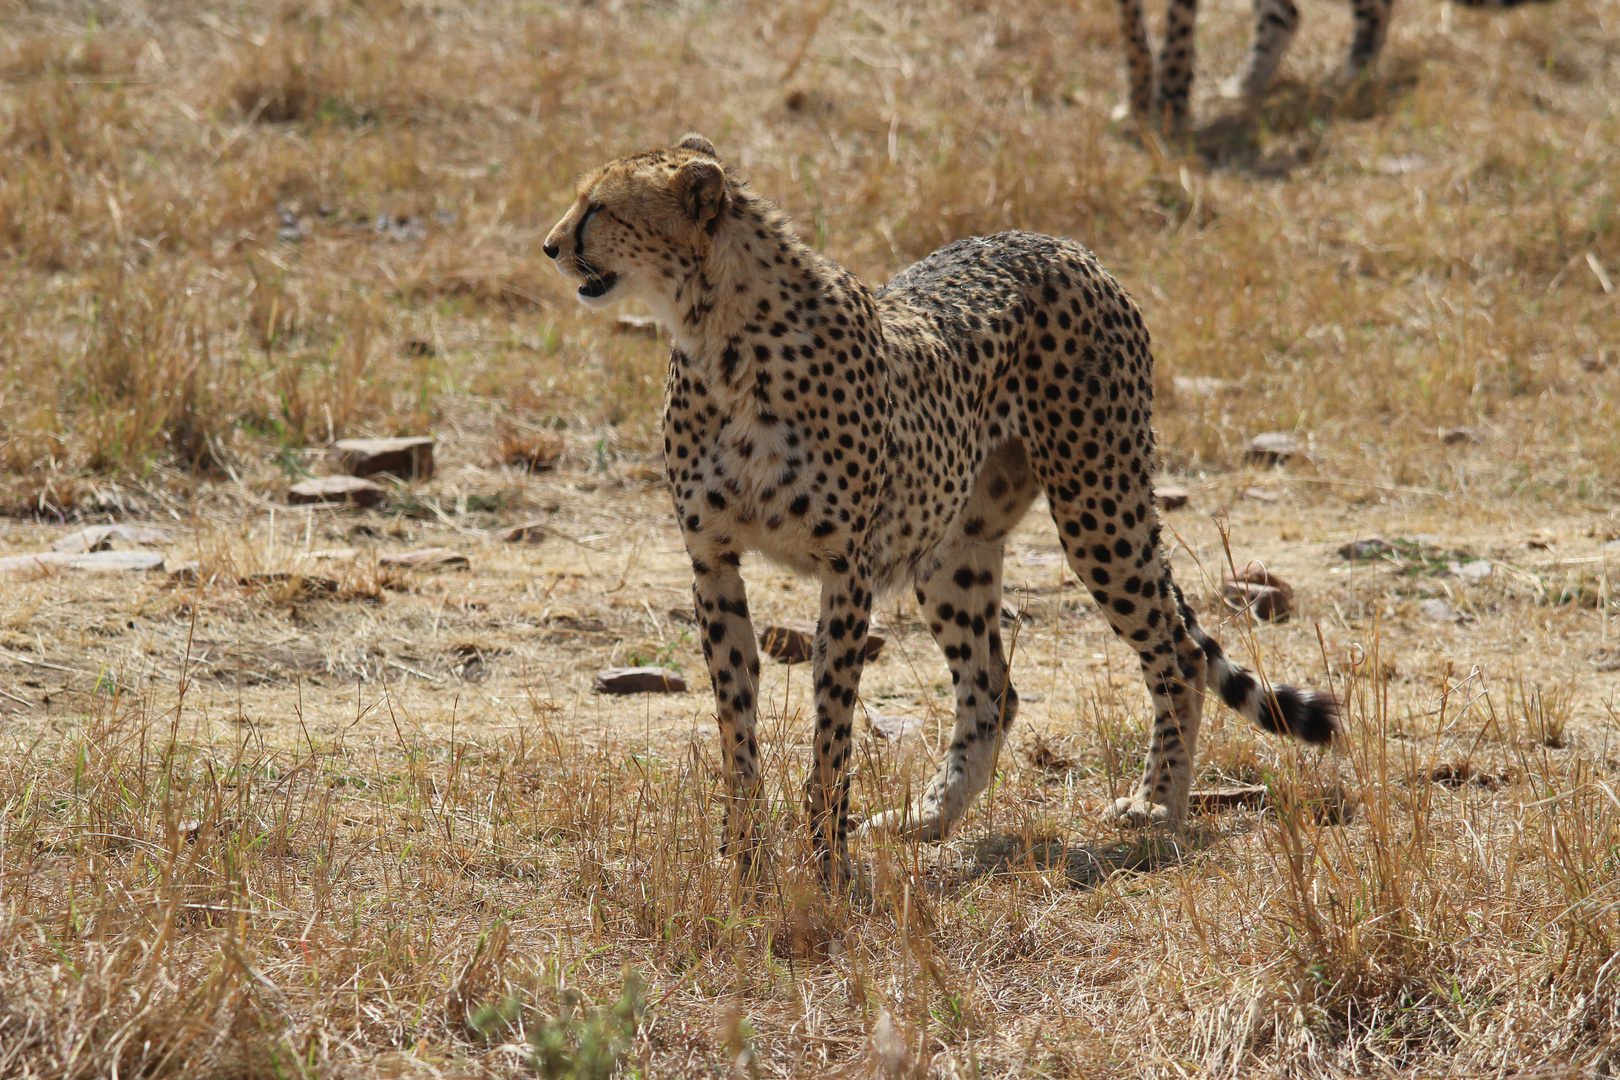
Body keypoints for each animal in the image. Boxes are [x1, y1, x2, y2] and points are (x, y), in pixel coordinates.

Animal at [537, 135, 1334, 880]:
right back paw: (927, 817)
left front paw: (828, 864)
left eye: (598, 208)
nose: (550, 246)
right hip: (955, 549)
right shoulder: (713, 561)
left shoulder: (846, 566)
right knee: (993, 688)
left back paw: (1157, 804)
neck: (718, 334)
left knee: (1175, 653)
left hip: (1097, 504)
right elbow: (738, 721)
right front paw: (745, 861)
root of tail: (1056, 242)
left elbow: (832, 726)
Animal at [1127, 0, 1555, 131]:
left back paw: (1356, 73)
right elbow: (1134, 35)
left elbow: (1177, 31)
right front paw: (1138, 102)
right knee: (1285, 15)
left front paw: (1169, 103)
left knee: (1377, 10)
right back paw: (1247, 83)